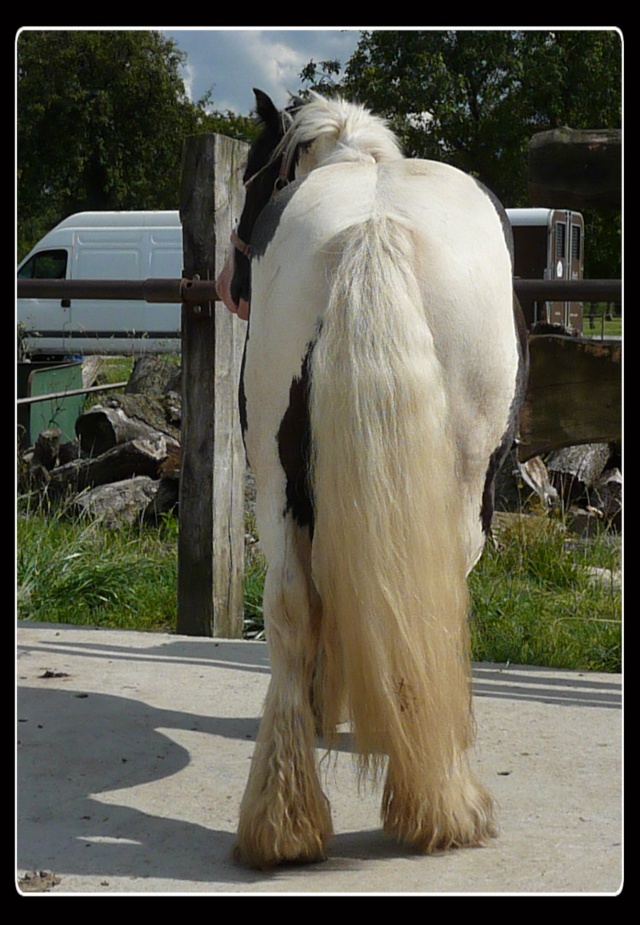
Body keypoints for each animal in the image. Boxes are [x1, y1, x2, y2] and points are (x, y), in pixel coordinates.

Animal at [218, 86, 528, 868]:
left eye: (252, 177)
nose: (228, 285)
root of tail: (374, 228)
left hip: (275, 478)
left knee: (290, 603)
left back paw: (285, 822)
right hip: (457, 488)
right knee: (426, 599)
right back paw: (434, 798)